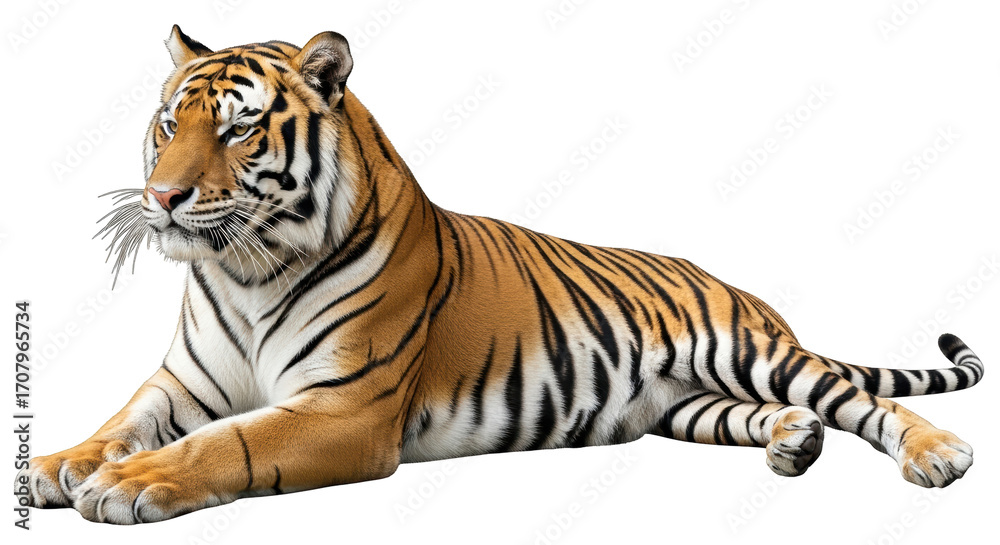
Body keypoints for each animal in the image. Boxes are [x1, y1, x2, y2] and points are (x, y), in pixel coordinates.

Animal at [16, 26, 984, 524]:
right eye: (167, 123)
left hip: (752, 353)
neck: (243, 271)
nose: (162, 197)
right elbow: (122, 421)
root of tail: (739, 287)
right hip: (690, 402)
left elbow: (226, 444)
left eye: (240, 128)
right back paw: (794, 442)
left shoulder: (345, 408)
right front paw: (58, 463)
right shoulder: (184, 382)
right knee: (776, 413)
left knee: (862, 399)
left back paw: (939, 455)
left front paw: (127, 484)